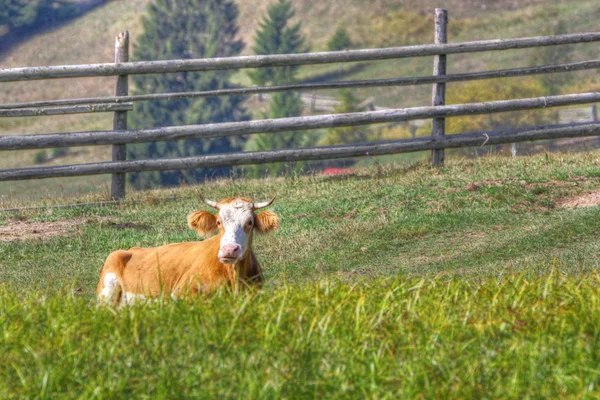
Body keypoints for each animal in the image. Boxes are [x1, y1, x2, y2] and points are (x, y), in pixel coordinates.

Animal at [96, 195, 278, 306]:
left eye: (250, 222)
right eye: (219, 222)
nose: (229, 250)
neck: (234, 278)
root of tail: (130, 250)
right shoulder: (181, 294)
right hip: (106, 293)